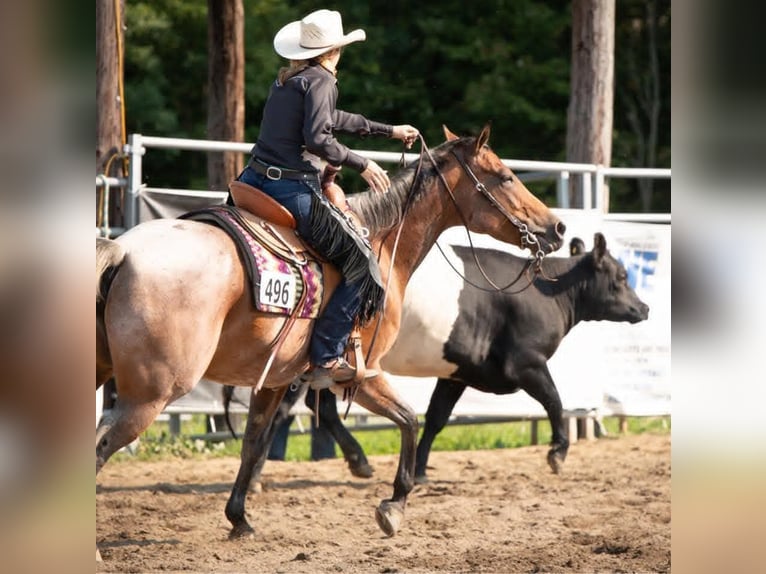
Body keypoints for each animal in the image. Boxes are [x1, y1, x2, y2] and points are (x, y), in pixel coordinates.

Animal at [95, 125, 565, 542]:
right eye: (505, 176)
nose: (557, 228)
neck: (380, 241)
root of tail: (124, 250)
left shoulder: (276, 379)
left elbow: (254, 442)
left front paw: (239, 518)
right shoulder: (361, 371)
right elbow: (409, 420)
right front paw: (394, 505)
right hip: (150, 395)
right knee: (99, 448)